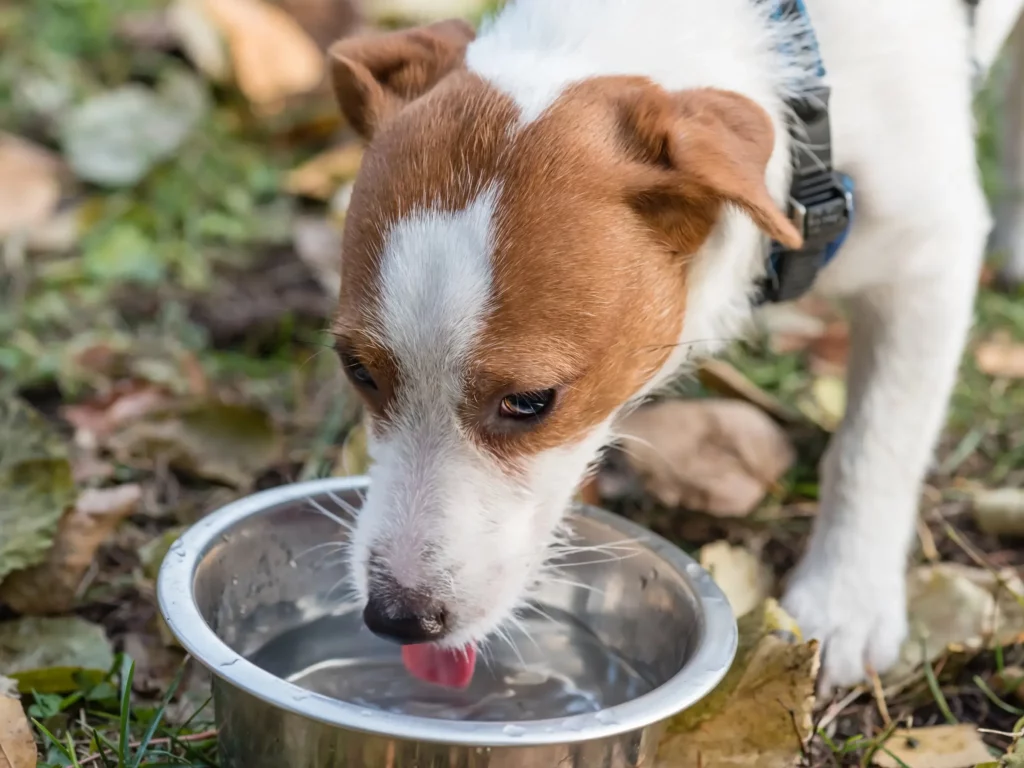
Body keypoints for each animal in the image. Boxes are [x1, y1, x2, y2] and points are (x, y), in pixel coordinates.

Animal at [323, 0, 1024, 692]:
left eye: (531, 401)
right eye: (356, 370)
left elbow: (875, 446)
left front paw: (845, 600)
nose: (397, 619)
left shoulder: (929, 261)